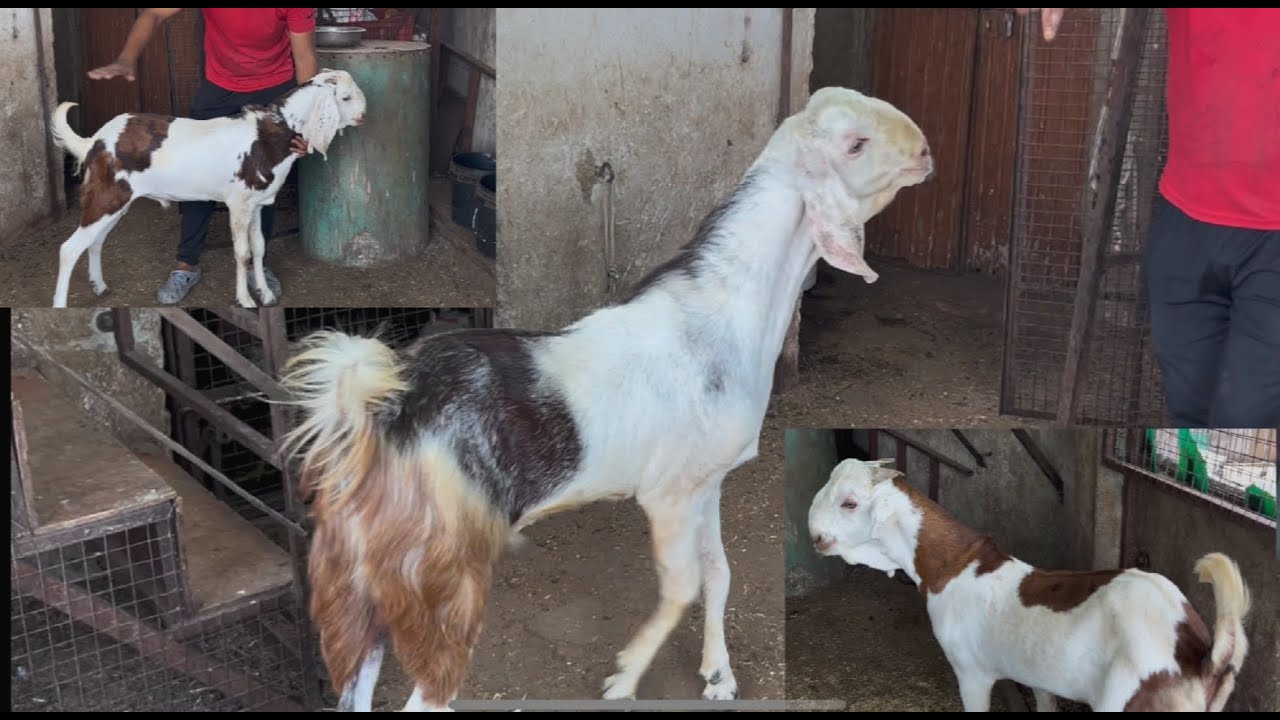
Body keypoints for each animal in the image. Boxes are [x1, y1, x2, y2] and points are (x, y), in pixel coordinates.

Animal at [48, 68, 367, 309]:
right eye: (345, 97)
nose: (364, 115)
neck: (269, 135)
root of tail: (96, 141)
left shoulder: (257, 203)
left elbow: (260, 248)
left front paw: (265, 293)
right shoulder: (238, 204)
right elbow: (242, 252)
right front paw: (245, 300)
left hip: (117, 200)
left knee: (95, 241)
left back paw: (99, 285)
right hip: (106, 196)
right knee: (68, 248)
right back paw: (61, 304)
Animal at [279, 86, 934, 712]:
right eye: (854, 143)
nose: (927, 152)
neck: (724, 312)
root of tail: (382, 409)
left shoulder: (709, 480)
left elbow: (718, 573)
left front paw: (718, 676)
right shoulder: (668, 494)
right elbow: (682, 585)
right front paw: (623, 678)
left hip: (358, 585)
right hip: (437, 573)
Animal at [807, 458, 1252, 713]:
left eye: (849, 503)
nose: (815, 536)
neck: (952, 566)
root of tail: (1201, 650)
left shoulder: (971, 672)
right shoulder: (1038, 678)